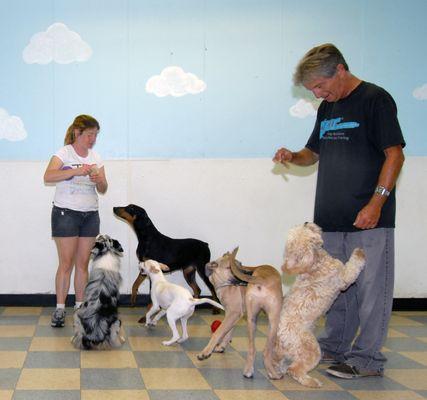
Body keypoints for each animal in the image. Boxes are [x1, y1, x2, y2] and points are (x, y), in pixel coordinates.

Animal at [198, 247, 284, 382]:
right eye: (231, 267)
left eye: (241, 264)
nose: (249, 273)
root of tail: (262, 278)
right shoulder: (235, 314)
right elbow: (228, 331)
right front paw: (221, 346)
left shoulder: (233, 313)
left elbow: (220, 332)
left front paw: (207, 351)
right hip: (259, 320)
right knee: (261, 350)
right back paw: (264, 372)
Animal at [276, 222, 366, 388]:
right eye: (306, 231)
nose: (307, 222)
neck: (315, 264)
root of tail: (279, 338)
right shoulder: (344, 277)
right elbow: (352, 266)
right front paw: (359, 252)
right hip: (311, 349)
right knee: (295, 369)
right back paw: (311, 381)